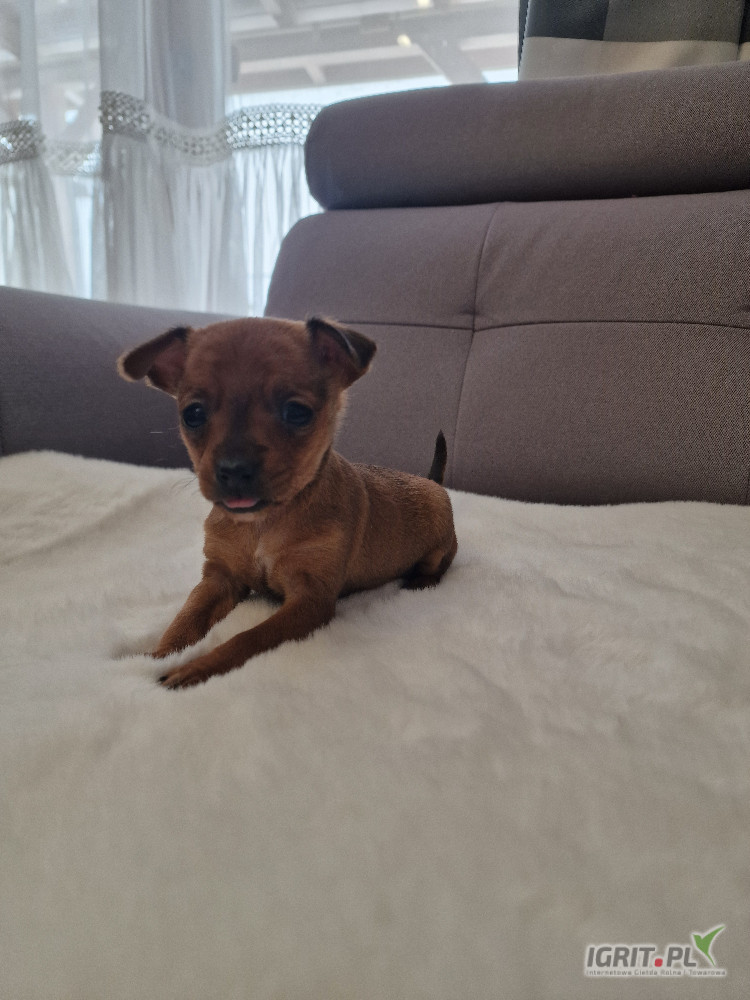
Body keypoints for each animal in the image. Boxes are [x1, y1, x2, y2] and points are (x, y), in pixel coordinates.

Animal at [118, 316, 457, 688]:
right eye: (192, 414)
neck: (264, 523)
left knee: (438, 564)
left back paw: (421, 581)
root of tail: (431, 481)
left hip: (440, 541)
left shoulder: (309, 600)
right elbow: (186, 618)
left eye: (296, 412)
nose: (233, 469)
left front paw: (195, 668)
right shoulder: (220, 579)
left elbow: (248, 638)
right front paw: (156, 657)